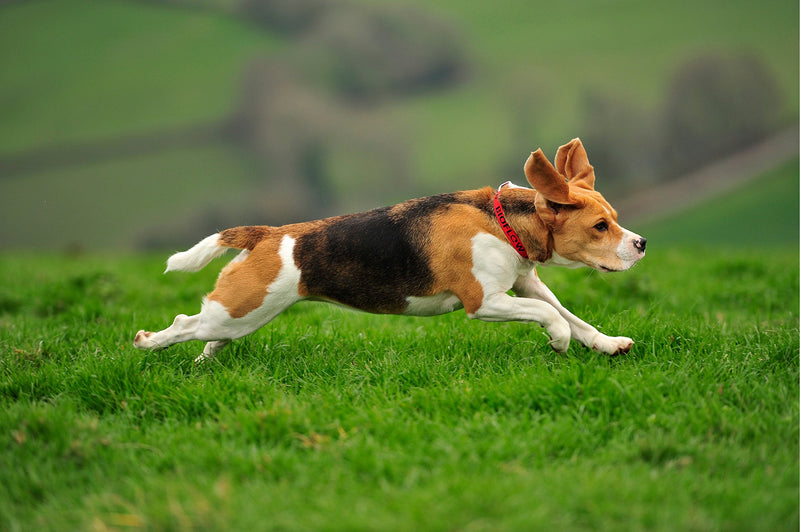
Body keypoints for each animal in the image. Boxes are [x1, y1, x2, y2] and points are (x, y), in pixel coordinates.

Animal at [134, 138, 648, 362]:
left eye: (614, 217)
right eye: (600, 226)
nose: (641, 244)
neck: (501, 220)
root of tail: (266, 233)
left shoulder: (525, 285)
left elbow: (572, 316)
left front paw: (607, 344)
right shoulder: (485, 301)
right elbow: (552, 318)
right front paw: (558, 341)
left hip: (244, 314)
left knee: (208, 337)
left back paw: (204, 363)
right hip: (238, 310)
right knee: (183, 324)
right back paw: (148, 343)